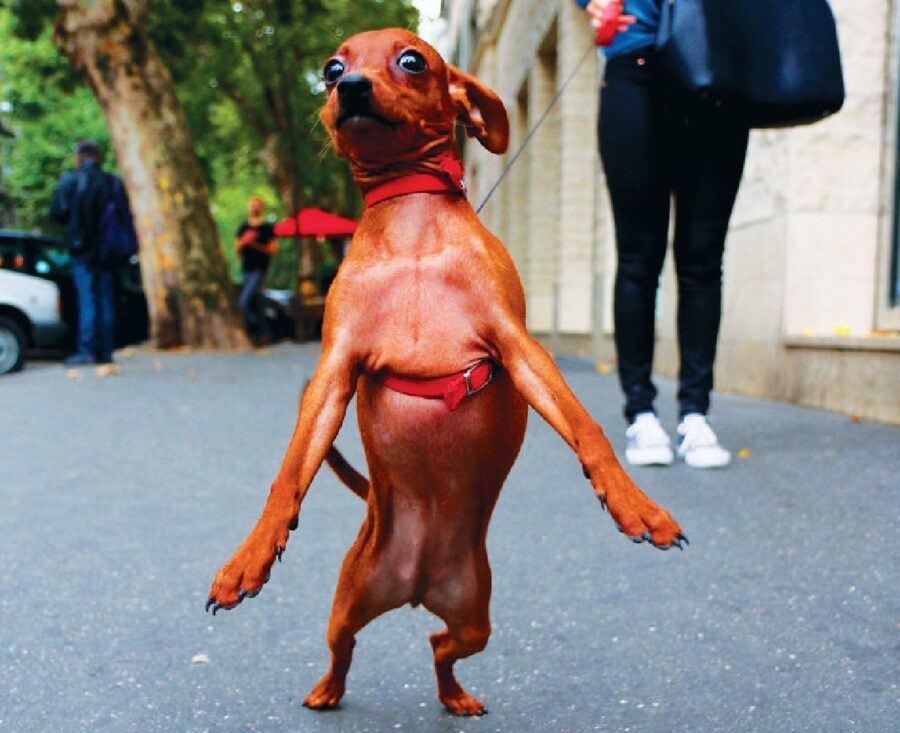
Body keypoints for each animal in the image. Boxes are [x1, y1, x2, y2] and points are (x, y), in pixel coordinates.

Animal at [204, 27, 684, 716]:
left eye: (411, 60)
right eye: (331, 69)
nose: (350, 88)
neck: (409, 225)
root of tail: (415, 583)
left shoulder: (519, 348)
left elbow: (588, 430)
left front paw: (634, 506)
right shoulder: (333, 374)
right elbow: (289, 472)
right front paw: (249, 557)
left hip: (474, 615)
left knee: (439, 647)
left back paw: (455, 697)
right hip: (348, 601)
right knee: (345, 648)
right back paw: (327, 691)